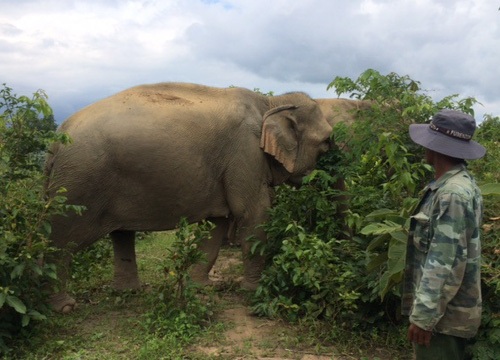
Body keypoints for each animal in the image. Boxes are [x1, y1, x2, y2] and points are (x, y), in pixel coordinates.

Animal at [44, 81, 332, 312]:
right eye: (327, 143)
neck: (270, 103)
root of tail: (56, 140)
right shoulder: (245, 152)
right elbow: (252, 213)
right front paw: (254, 292)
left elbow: (217, 225)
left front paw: (203, 287)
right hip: (78, 183)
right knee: (60, 241)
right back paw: (64, 307)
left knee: (121, 234)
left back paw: (129, 292)